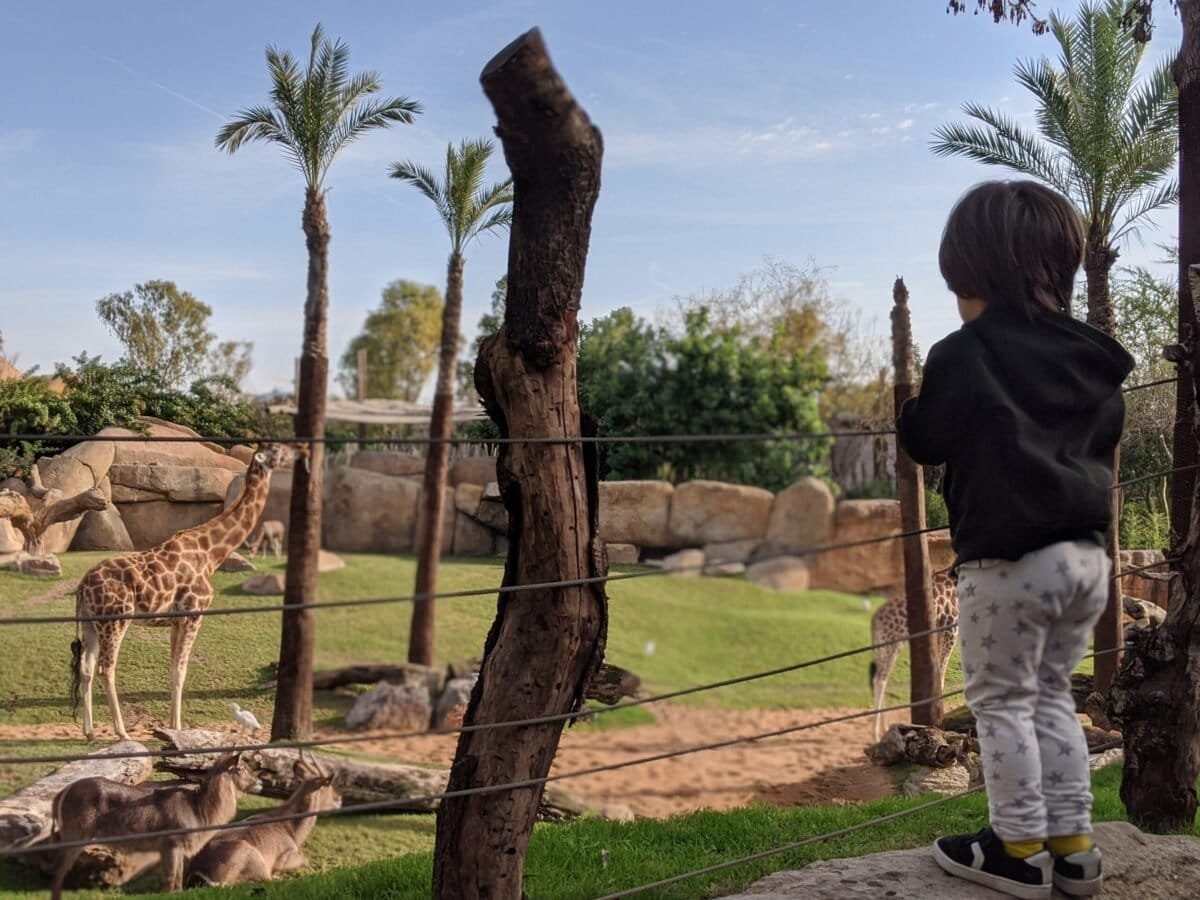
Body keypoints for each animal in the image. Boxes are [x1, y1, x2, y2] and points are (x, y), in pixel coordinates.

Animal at [51, 753, 260, 900]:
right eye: (240, 768)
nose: (259, 782)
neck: (199, 809)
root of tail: (62, 792)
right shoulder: (172, 844)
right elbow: (172, 878)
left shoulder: (172, 848)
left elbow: (177, 877)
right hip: (75, 835)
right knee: (58, 871)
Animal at [72, 444, 285, 739]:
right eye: (277, 452)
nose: (292, 456)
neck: (212, 553)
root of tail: (82, 587)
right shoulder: (194, 614)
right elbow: (181, 671)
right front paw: (179, 727)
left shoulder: (175, 620)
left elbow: (173, 669)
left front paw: (172, 727)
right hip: (115, 620)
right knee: (107, 667)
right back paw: (122, 732)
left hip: (91, 623)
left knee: (86, 667)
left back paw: (90, 731)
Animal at [184, 758, 340, 892]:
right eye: (329, 786)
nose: (339, 800)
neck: (289, 827)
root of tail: (198, 871)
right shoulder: (283, 859)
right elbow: (305, 860)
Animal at [868, 573, 960, 744]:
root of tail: (874, 621)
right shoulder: (951, 628)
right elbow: (942, 672)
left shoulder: (939, 631)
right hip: (891, 643)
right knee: (880, 680)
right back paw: (876, 734)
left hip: (882, 647)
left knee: (881, 678)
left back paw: (884, 728)